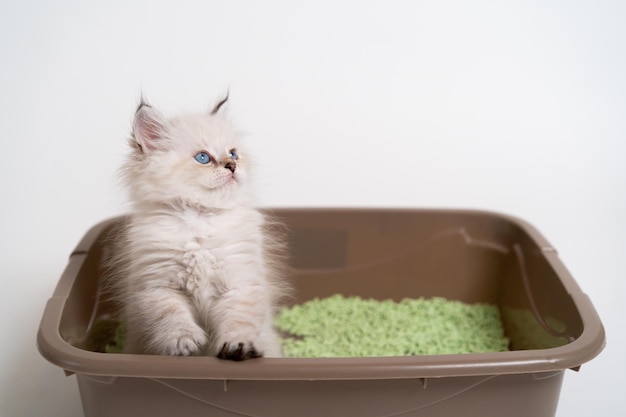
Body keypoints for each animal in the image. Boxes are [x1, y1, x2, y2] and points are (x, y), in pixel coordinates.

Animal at [114, 93, 286, 358]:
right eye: (203, 158)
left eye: (233, 154)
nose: (232, 166)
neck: (200, 219)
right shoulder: (159, 286)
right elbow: (173, 318)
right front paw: (183, 343)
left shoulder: (240, 283)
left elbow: (237, 322)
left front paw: (238, 347)